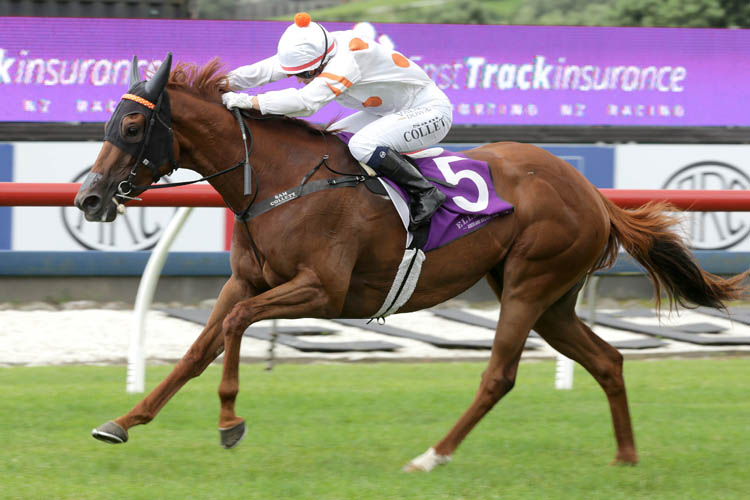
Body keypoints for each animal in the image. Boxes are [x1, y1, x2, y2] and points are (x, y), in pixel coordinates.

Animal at [76, 55, 748, 472]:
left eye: (131, 125)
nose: (89, 198)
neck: (276, 179)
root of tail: (593, 194)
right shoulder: (246, 279)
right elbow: (197, 348)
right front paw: (123, 420)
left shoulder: (322, 289)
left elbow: (238, 328)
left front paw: (229, 421)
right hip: (553, 298)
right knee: (608, 360)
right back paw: (626, 457)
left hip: (530, 284)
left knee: (499, 376)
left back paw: (432, 455)